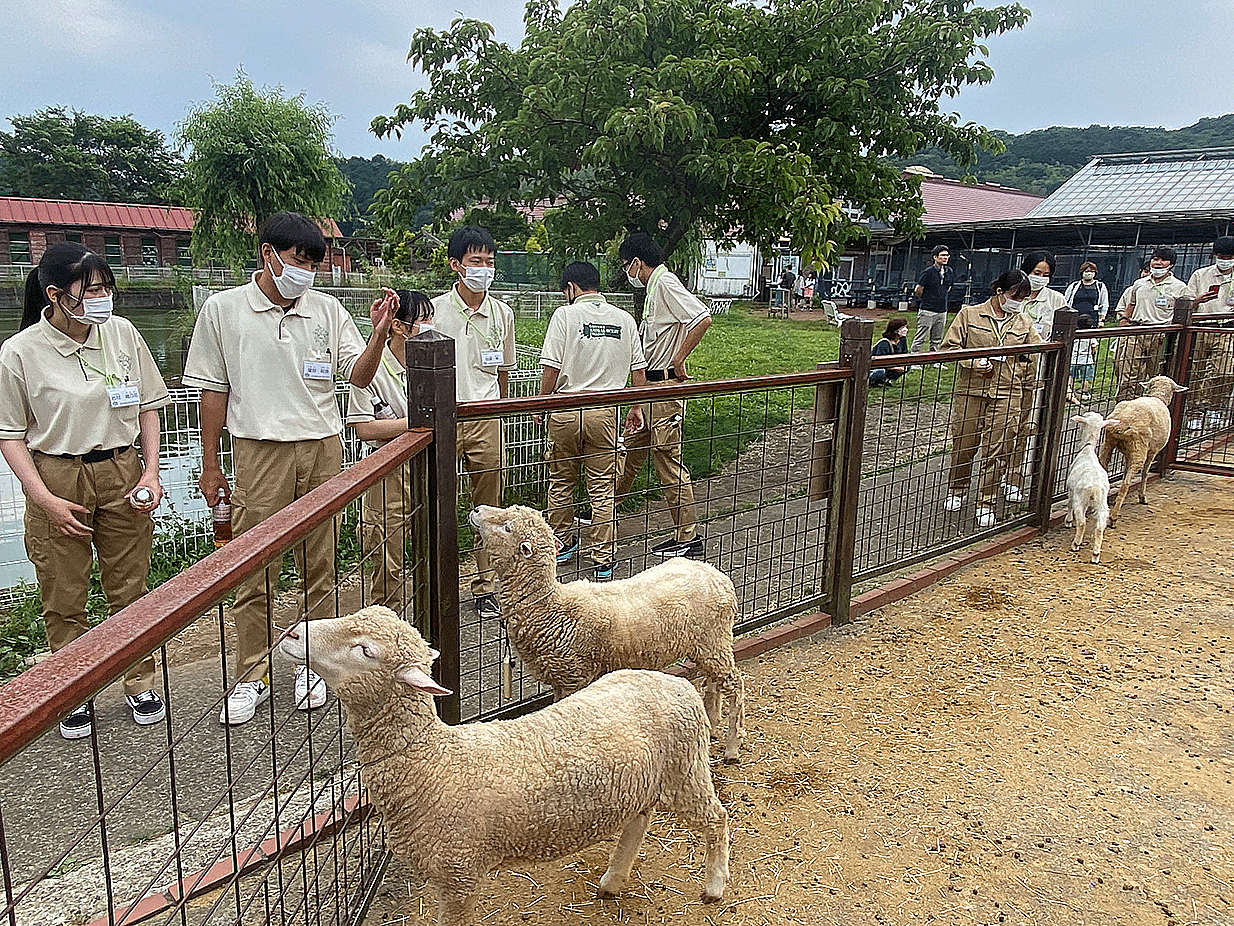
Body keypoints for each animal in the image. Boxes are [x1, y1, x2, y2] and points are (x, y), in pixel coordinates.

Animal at [279, 606, 730, 926]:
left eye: (365, 650)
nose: (292, 633)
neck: (430, 762)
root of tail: (675, 681)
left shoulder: (458, 877)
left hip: (687, 770)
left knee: (717, 818)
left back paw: (714, 885)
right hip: (643, 781)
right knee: (638, 821)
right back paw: (612, 881)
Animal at [468, 504, 745, 763]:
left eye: (507, 528)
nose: (476, 509)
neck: (550, 607)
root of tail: (718, 576)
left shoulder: (575, 677)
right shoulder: (560, 679)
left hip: (715, 641)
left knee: (735, 684)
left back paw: (732, 746)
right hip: (706, 646)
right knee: (714, 682)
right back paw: (711, 723)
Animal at [1065, 412, 1120, 563]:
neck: (1087, 447)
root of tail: (1094, 486)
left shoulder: (1071, 489)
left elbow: (1069, 504)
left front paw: (1068, 521)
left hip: (1080, 497)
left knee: (1082, 522)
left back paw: (1076, 544)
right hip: (1102, 502)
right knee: (1100, 527)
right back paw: (1095, 554)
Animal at [1098, 374, 1188, 525]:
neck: (1158, 397)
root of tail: (1120, 424)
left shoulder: (1127, 454)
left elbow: (1125, 472)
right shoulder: (1153, 451)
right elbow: (1145, 473)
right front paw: (1142, 497)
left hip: (1107, 444)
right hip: (1139, 450)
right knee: (1126, 484)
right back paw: (1114, 517)